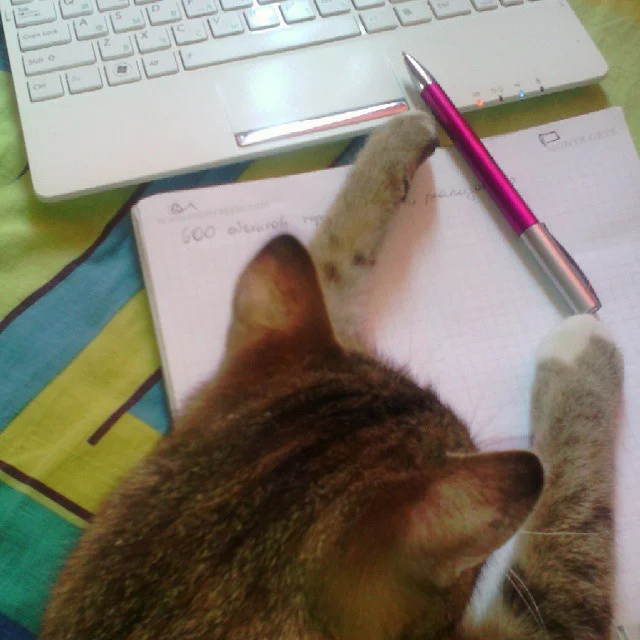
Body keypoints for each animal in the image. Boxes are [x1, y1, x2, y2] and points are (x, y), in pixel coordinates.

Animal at [40, 112, 623, 640]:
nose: (591, 316)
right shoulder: (544, 621)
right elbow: (574, 522)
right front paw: (584, 345)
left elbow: (338, 252)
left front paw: (401, 129)